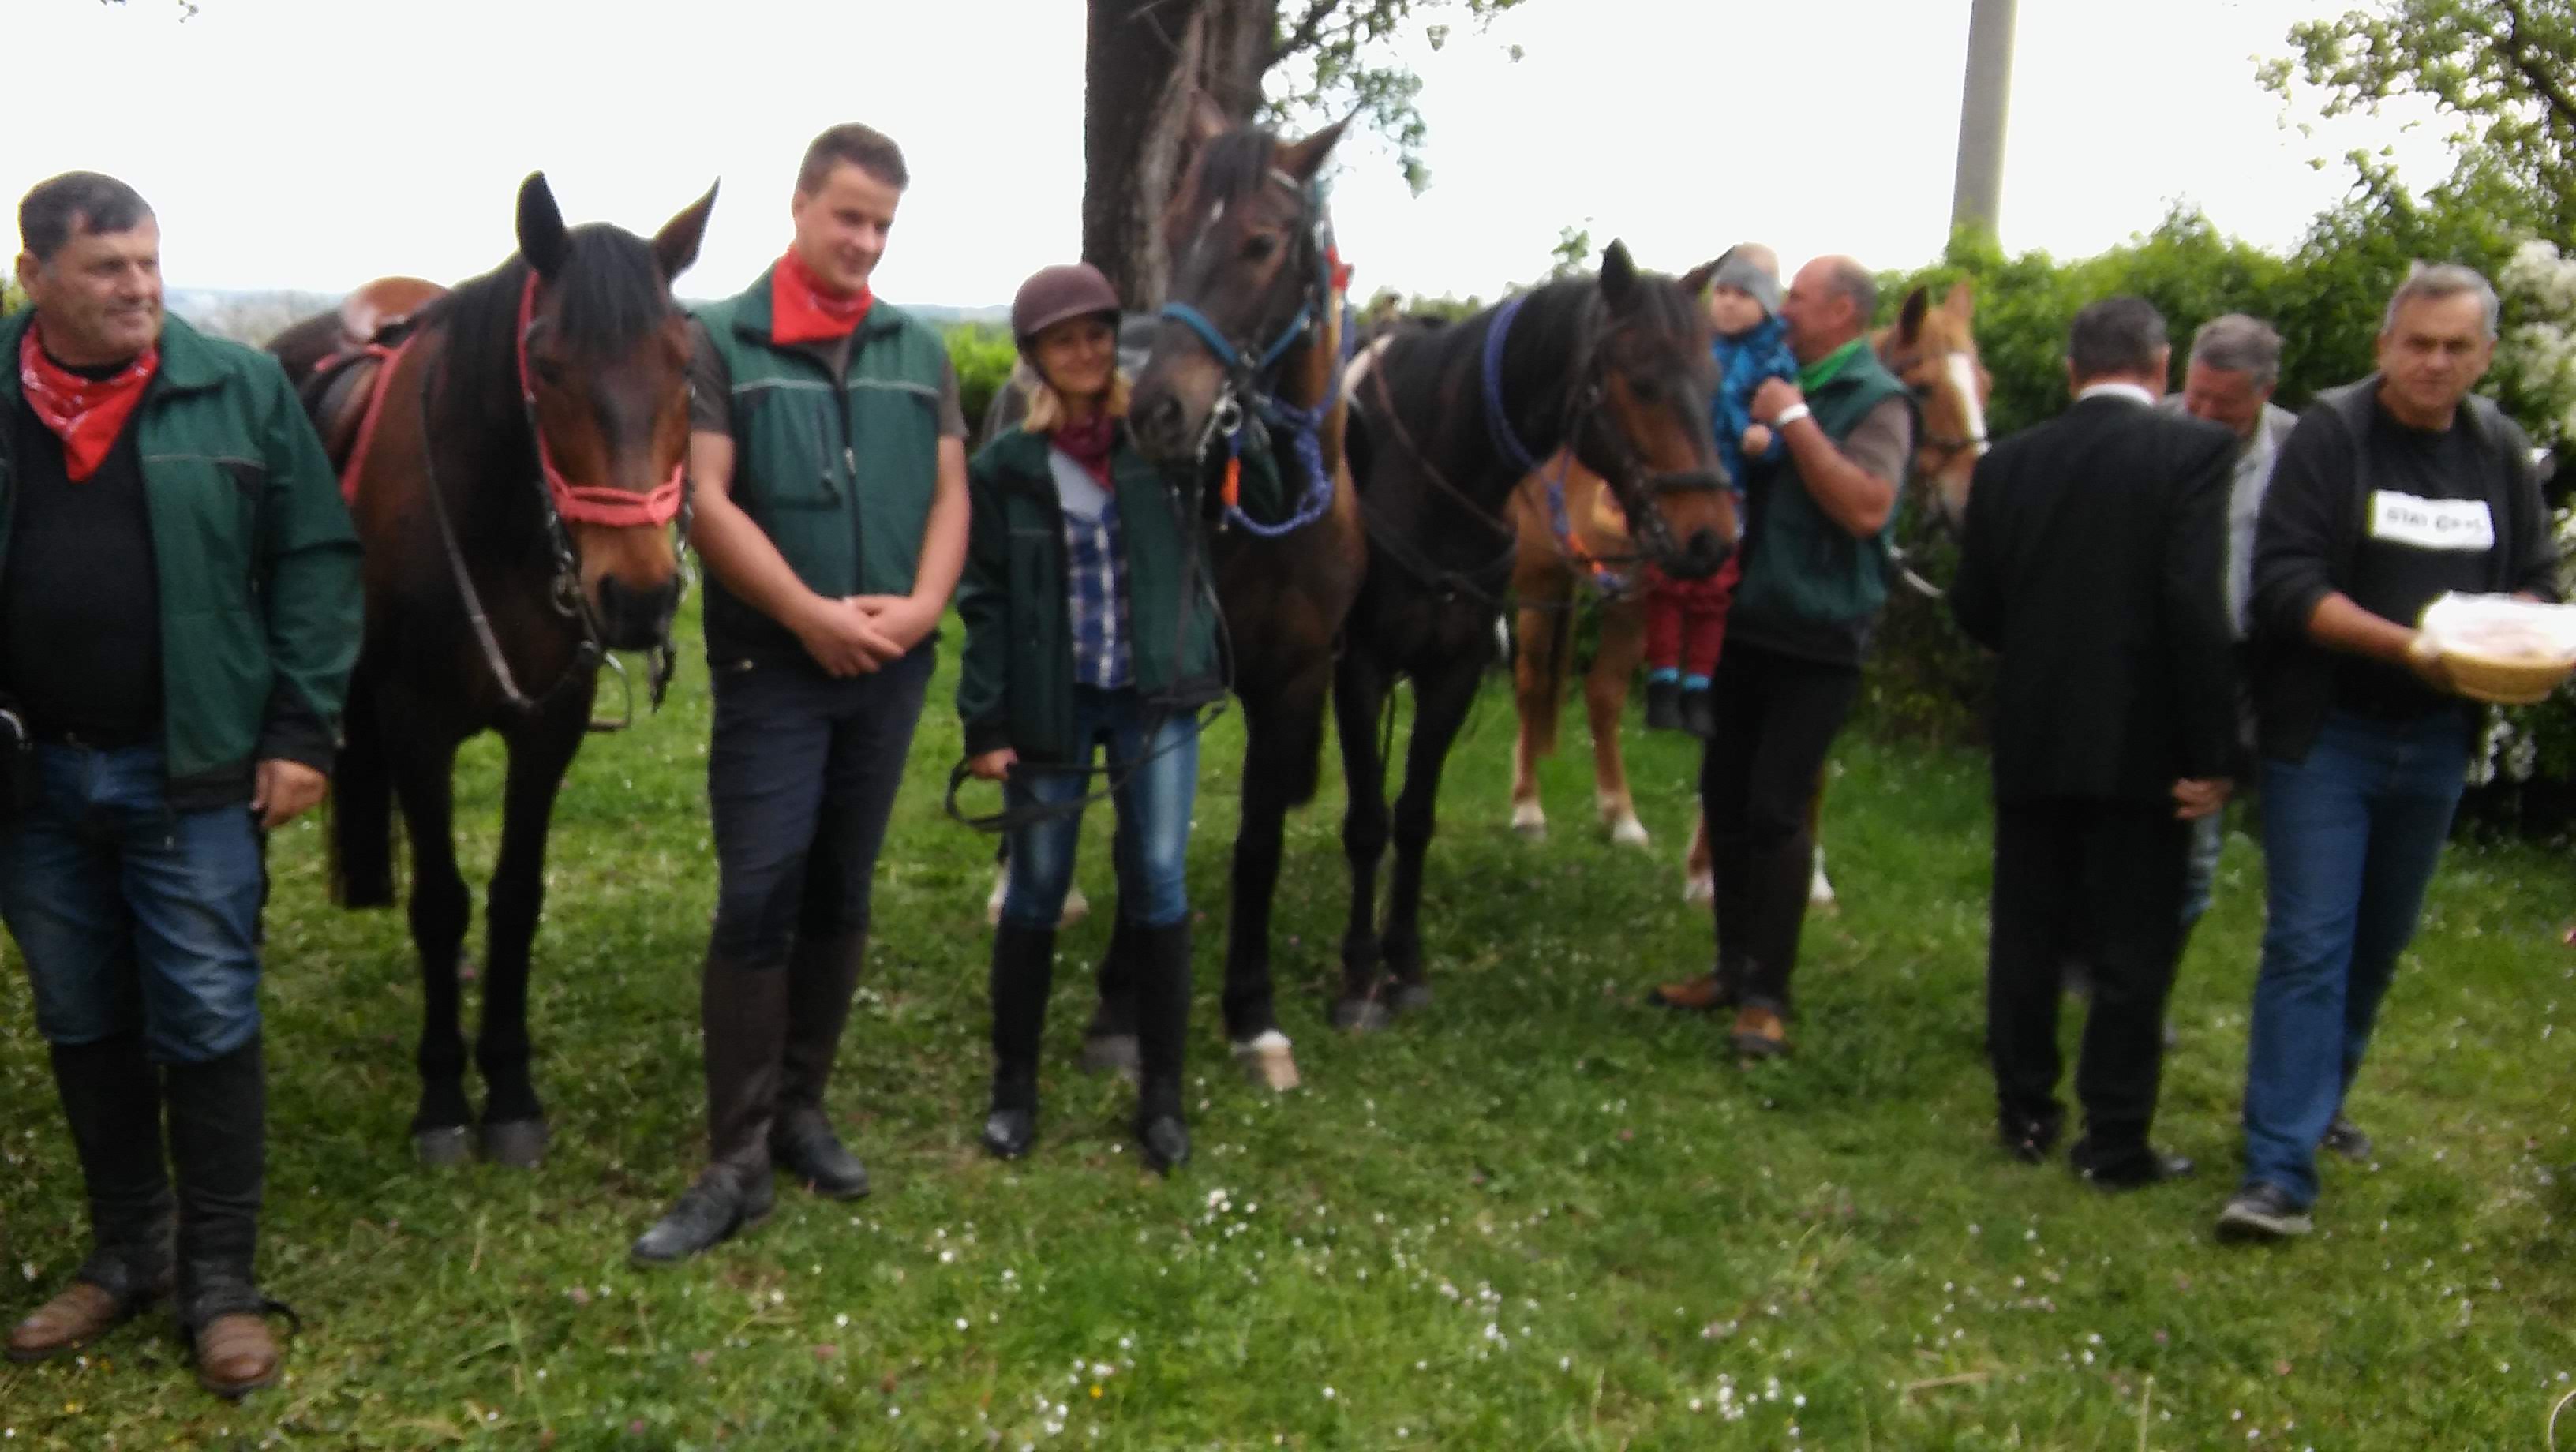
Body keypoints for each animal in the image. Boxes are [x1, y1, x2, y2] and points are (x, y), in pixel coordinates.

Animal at [274, 172, 715, 1167]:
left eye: (683, 364)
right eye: (544, 365)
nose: (639, 594)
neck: (502, 526)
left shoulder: (548, 728)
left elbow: (515, 897)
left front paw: (509, 1085)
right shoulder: (415, 726)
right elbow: (441, 901)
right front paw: (443, 1096)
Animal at [1109, 106, 1366, 1092]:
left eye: (1260, 242)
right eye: (1176, 227)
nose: (1158, 412)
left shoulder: (1294, 681)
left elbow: (1257, 845)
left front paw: (1253, 1013)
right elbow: (1138, 835)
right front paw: (1123, 1003)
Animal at [1330, 242, 1740, 1030]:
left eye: (1712, 382)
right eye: (1641, 382)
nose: (1711, 540)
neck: (1424, 473)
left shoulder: (1453, 672)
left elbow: (1414, 816)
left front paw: (1406, 961)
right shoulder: (1358, 669)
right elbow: (1367, 820)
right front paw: (1361, 971)